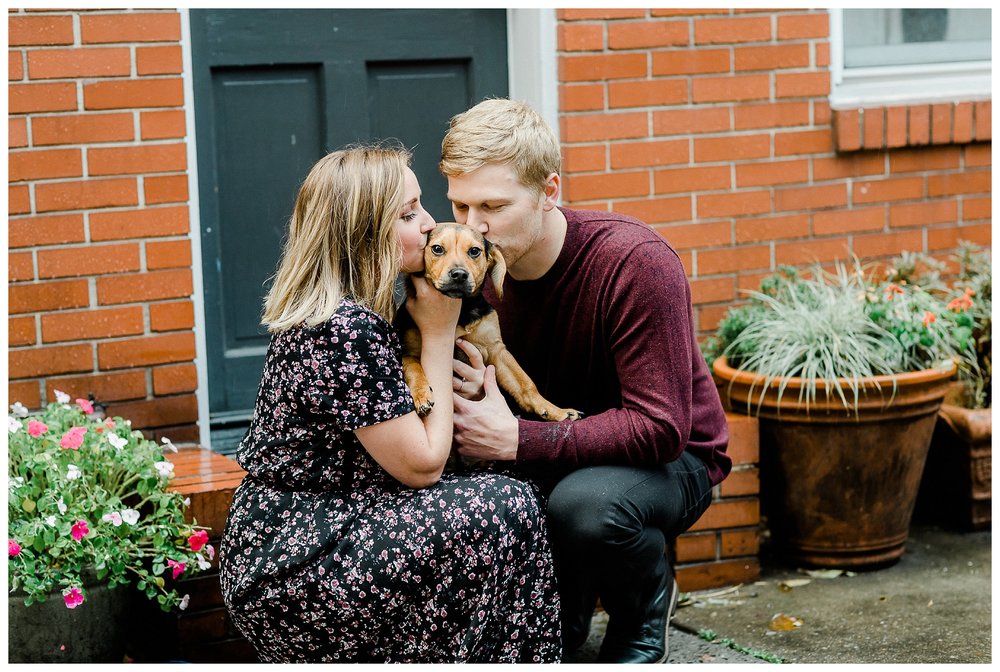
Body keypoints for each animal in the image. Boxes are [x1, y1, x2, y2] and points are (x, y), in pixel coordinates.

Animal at [394, 226, 584, 422]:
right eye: (437, 249)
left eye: (474, 251)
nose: (459, 275)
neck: (462, 310)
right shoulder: (407, 352)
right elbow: (414, 370)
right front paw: (421, 395)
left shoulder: (496, 350)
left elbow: (525, 383)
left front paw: (554, 410)